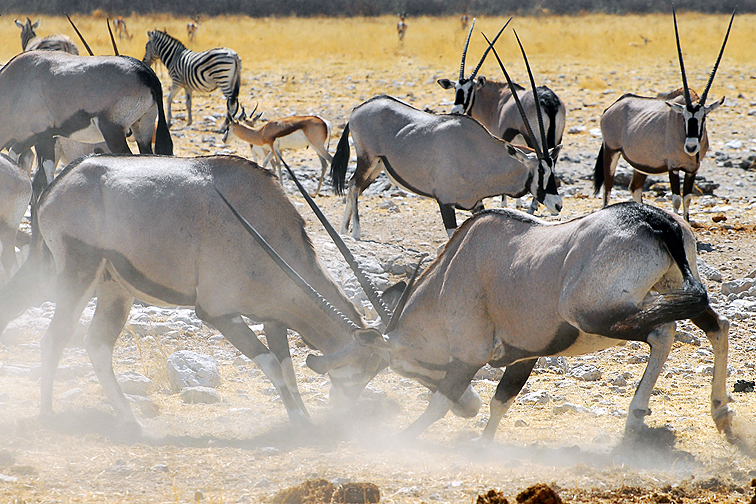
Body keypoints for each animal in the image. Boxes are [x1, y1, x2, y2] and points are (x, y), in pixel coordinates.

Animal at [0, 51, 173, 200]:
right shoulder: (32, 137)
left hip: (113, 132)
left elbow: (45, 169)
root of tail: (146, 73)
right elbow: (18, 156)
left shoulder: (43, 135)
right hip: (143, 128)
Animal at [0, 156, 408, 436]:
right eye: (365, 367)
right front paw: (300, 422)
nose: (344, 412)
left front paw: (303, 418)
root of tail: (58, 185)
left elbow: (288, 367)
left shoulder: (272, 317)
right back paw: (48, 414)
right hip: (77, 274)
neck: (263, 225)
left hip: (113, 289)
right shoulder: (217, 313)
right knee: (54, 339)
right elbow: (272, 365)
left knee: (96, 344)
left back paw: (131, 422)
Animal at [434, 18, 564, 213]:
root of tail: (549, 100)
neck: (497, 100)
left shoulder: (503, 137)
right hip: (555, 138)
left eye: (470, 89)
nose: (456, 110)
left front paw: (505, 204)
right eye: (456, 88)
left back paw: (533, 207)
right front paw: (517, 203)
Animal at [592, 7, 736, 220]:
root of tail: (614, 106)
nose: (691, 147)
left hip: (641, 164)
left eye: (703, 118)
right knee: (608, 188)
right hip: (611, 151)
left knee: (634, 188)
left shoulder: (692, 169)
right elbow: (676, 199)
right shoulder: (673, 167)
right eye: (683, 117)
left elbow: (687, 199)